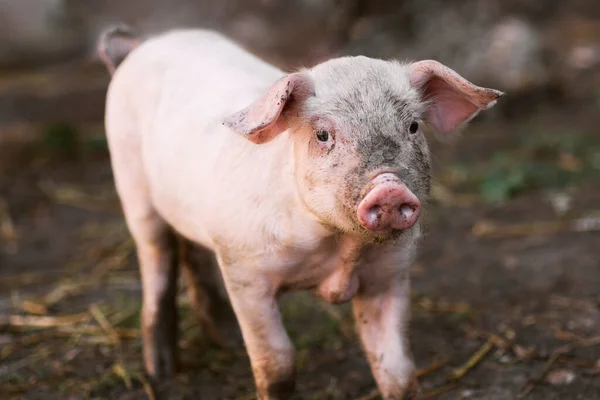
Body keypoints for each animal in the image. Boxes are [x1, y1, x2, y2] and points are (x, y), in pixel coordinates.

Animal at [98, 25, 502, 400]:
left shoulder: (390, 275)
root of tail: (143, 44)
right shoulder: (245, 273)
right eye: (323, 135)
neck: (340, 248)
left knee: (193, 254)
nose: (387, 185)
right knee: (157, 264)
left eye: (413, 126)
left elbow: (399, 372)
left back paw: (227, 341)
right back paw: (161, 373)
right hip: (131, 185)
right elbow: (277, 366)